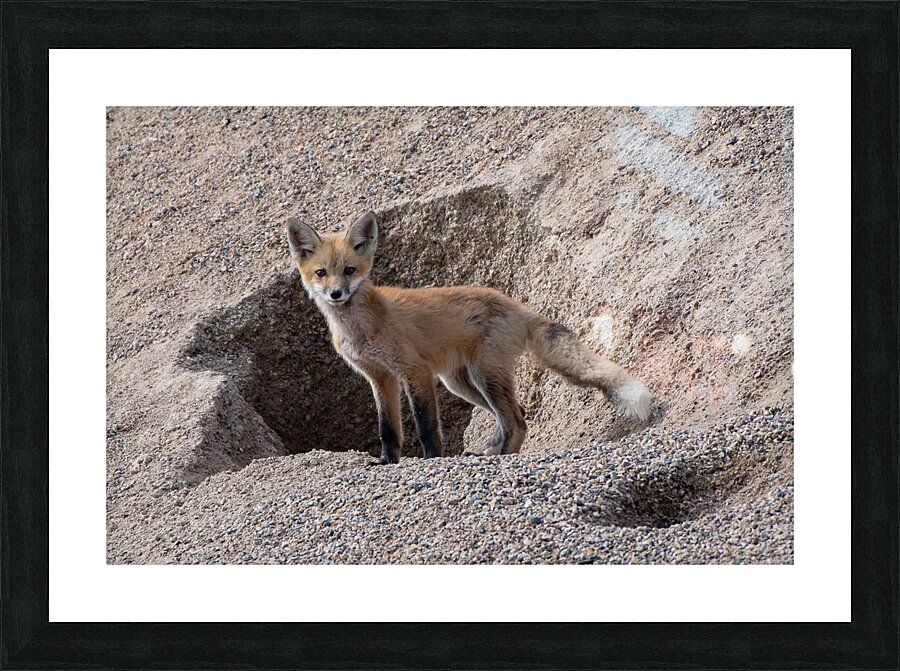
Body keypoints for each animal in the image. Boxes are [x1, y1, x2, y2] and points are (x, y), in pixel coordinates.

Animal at [286, 210, 654, 465]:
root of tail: (514, 304)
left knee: (516, 420)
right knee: (514, 416)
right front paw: (387, 462)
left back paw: (502, 456)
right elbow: (388, 428)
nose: (335, 294)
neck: (362, 328)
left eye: (349, 270)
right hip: (461, 383)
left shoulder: (414, 371)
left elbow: (425, 425)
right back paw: (490, 451)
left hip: (483, 375)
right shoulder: (379, 377)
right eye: (321, 273)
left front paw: (432, 460)